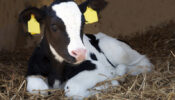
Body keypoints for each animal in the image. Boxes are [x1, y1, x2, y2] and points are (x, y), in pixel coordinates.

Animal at [19, 0, 153, 98]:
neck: (57, 72)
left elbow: (73, 88)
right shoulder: (33, 71)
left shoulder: (97, 68)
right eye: (54, 26)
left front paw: (108, 85)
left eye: (83, 23)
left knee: (144, 63)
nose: (79, 53)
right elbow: (39, 90)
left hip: (116, 49)